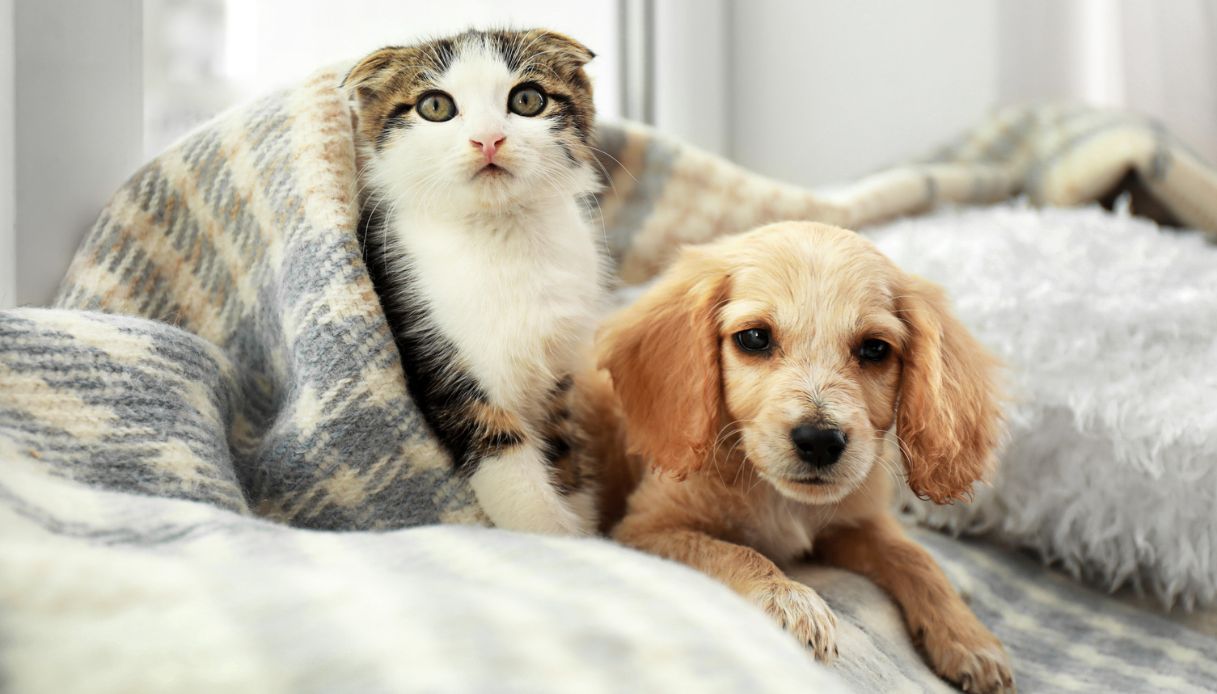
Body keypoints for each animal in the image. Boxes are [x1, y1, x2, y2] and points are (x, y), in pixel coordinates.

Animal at [342, 29, 604, 534]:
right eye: (435, 106)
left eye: (527, 99)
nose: (488, 140)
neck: (501, 234)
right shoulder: (438, 356)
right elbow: (502, 457)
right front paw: (553, 533)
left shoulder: (559, 371)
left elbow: (562, 442)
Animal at [592, 221, 1015, 693]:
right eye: (755, 338)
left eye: (875, 349)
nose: (820, 441)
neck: (781, 499)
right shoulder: (645, 528)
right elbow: (733, 551)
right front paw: (789, 601)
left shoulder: (854, 522)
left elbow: (914, 556)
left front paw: (969, 638)